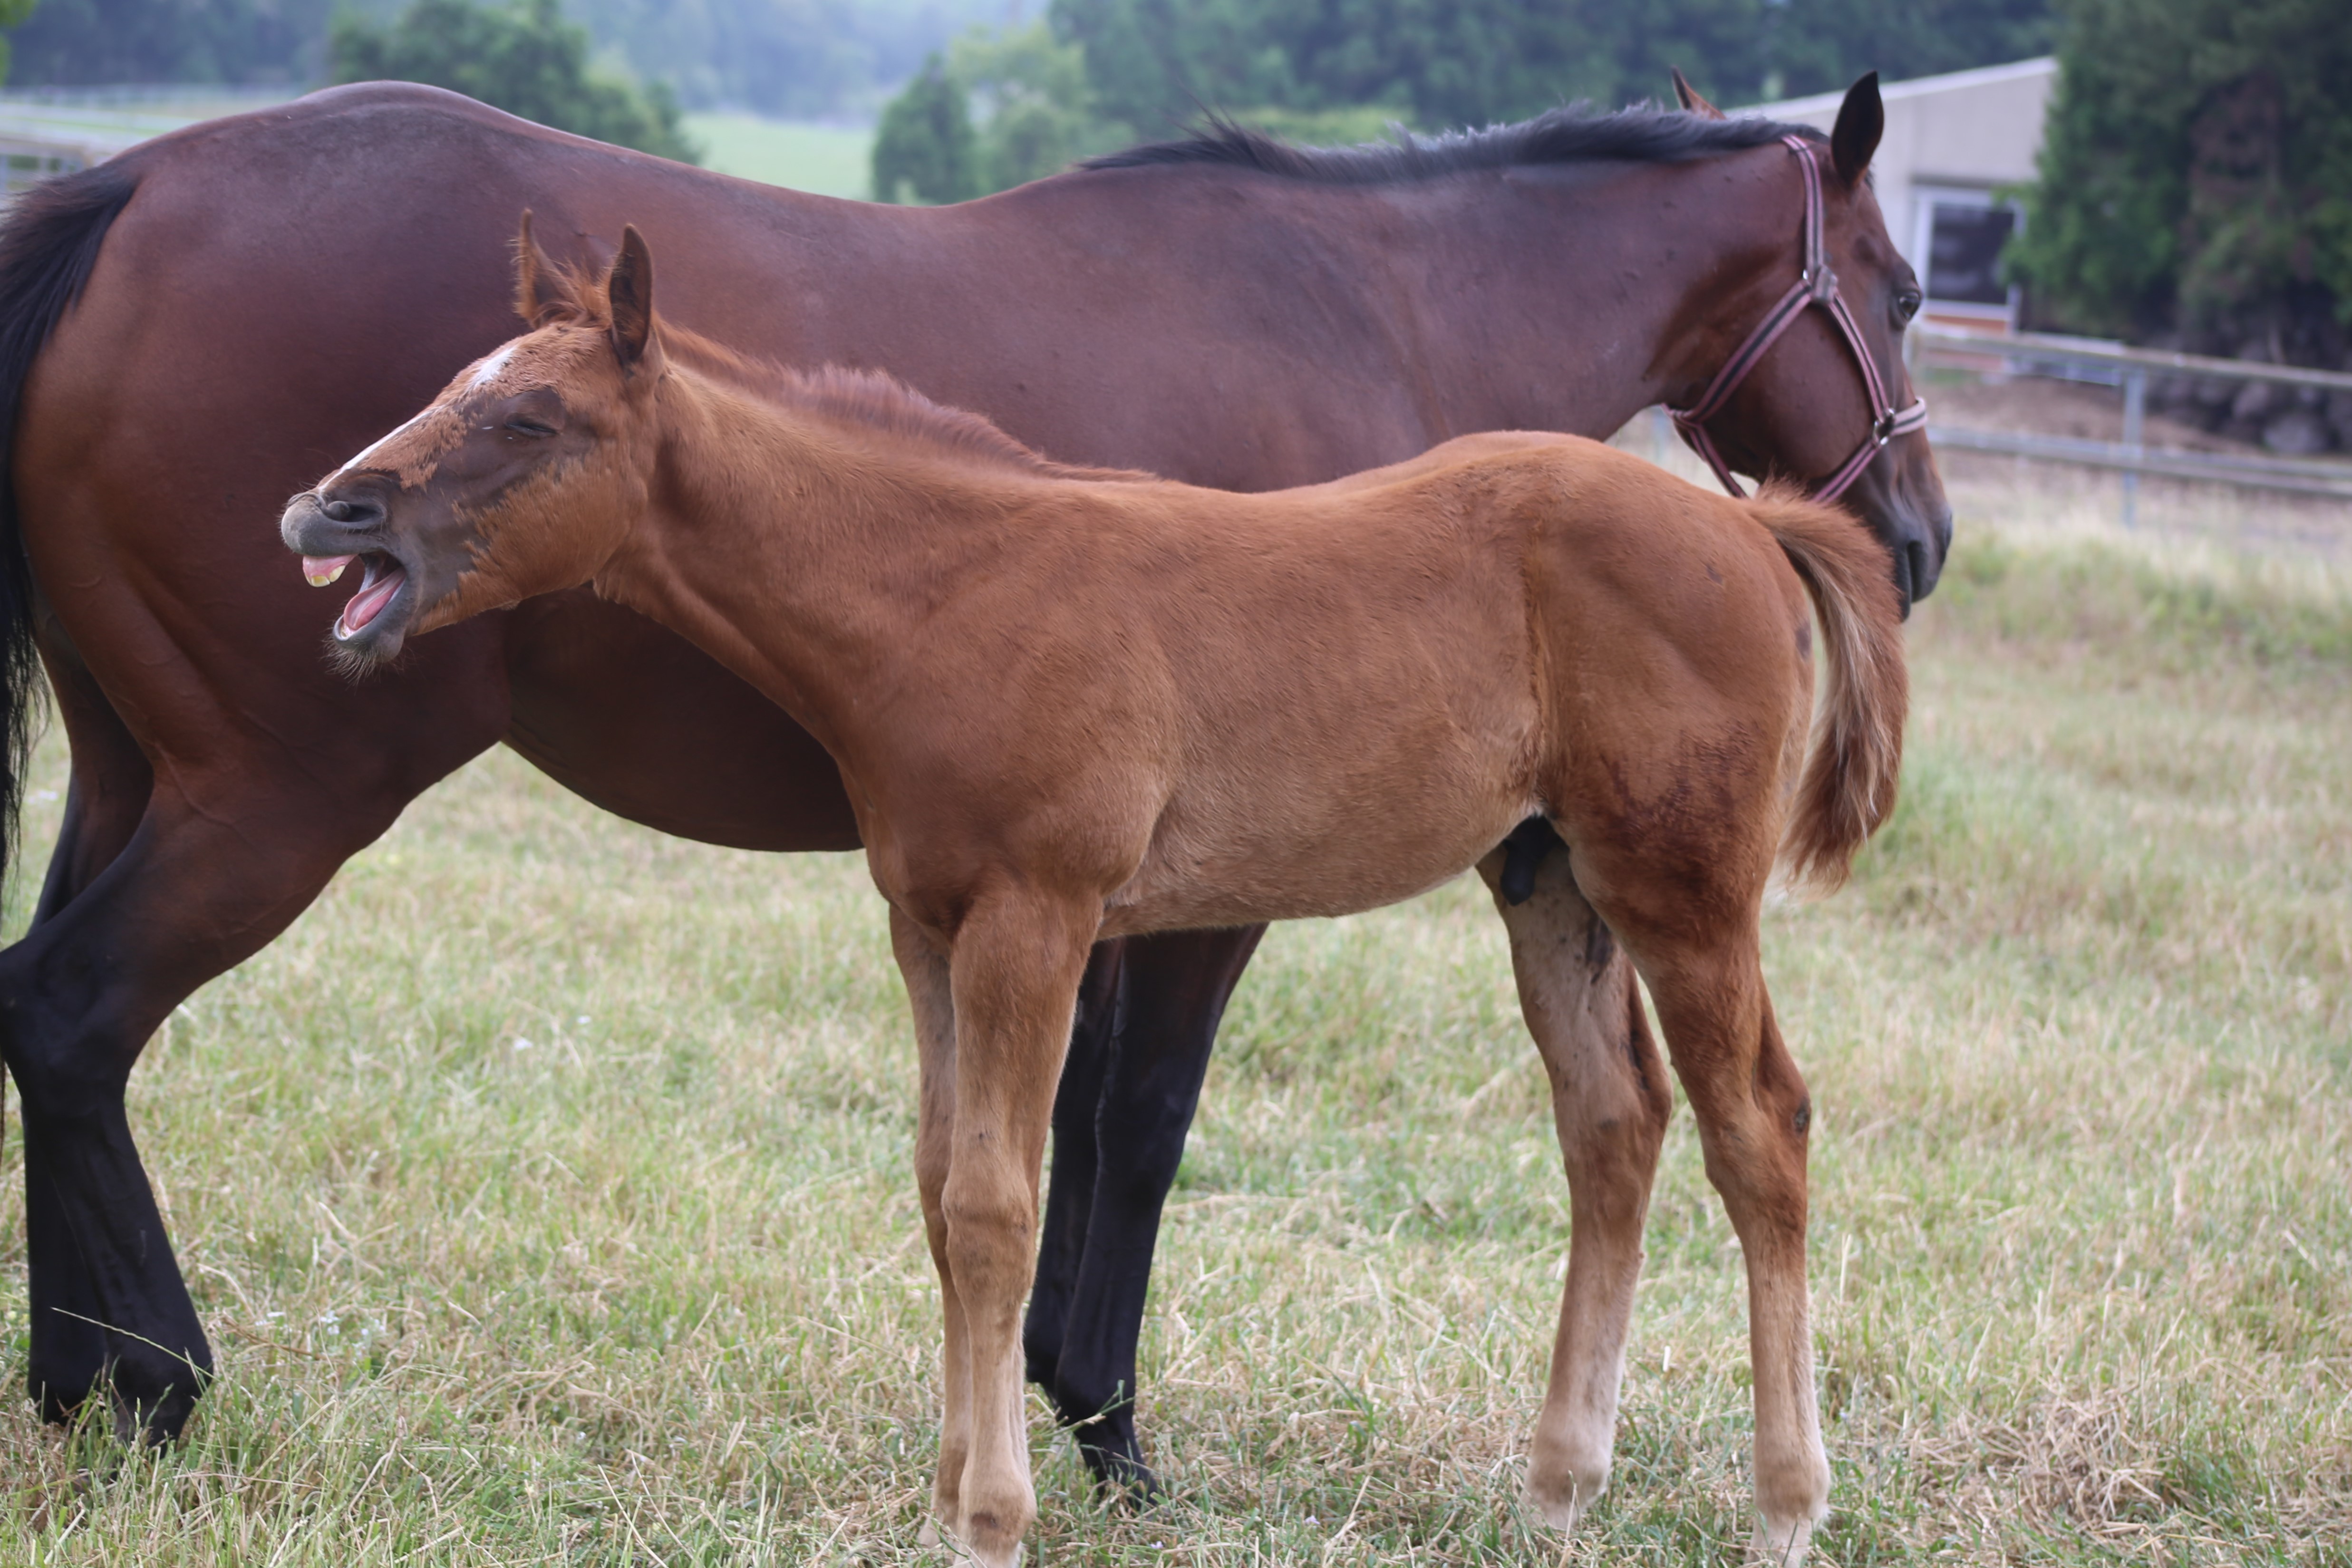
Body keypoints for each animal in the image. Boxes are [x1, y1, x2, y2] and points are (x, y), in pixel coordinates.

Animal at [0, 73, 1947, 1476]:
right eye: (1905, 287)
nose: (1917, 537)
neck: (1372, 308)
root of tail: (130, 191)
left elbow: (1054, 1132)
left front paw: (1046, 1404)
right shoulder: (1186, 899)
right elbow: (1132, 1124)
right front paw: (1105, 1425)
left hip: (138, 767)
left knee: (38, 1008)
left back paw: (77, 1379)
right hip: (280, 792)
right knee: (77, 1014)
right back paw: (161, 1380)